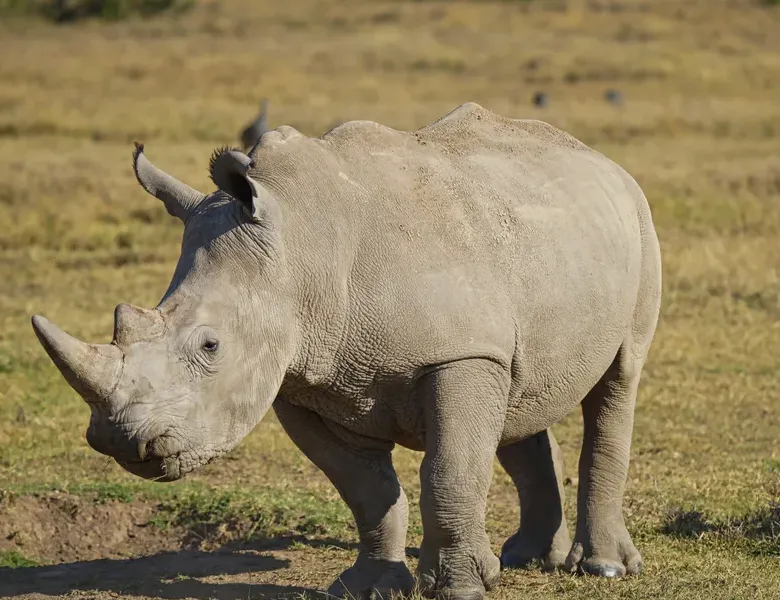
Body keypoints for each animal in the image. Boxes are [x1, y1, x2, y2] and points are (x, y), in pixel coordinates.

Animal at [31, 103, 661, 600]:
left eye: (211, 345)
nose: (122, 443)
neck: (299, 249)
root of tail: (597, 156)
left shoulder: (457, 355)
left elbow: (448, 471)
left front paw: (458, 589)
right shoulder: (301, 381)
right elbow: (366, 488)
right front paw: (371, 586)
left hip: (637, 216)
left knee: (618, 380)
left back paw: (602, 569)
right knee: (519, 390)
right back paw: (523, 558)